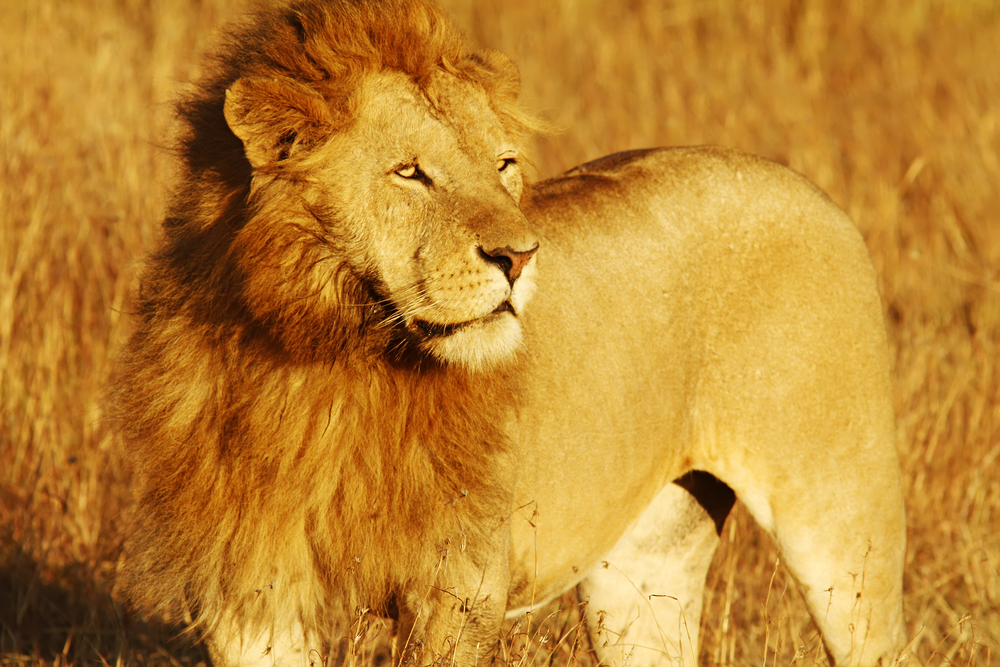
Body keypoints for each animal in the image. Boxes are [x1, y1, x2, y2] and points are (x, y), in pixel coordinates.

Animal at [111, 0, 907, 666]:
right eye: (411, 173)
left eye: (504, 165)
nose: (521, 257)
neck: (323, 358)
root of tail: (817, 195)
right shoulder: (251, 591)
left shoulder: (459, 587)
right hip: (644, 568)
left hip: (841, 525)